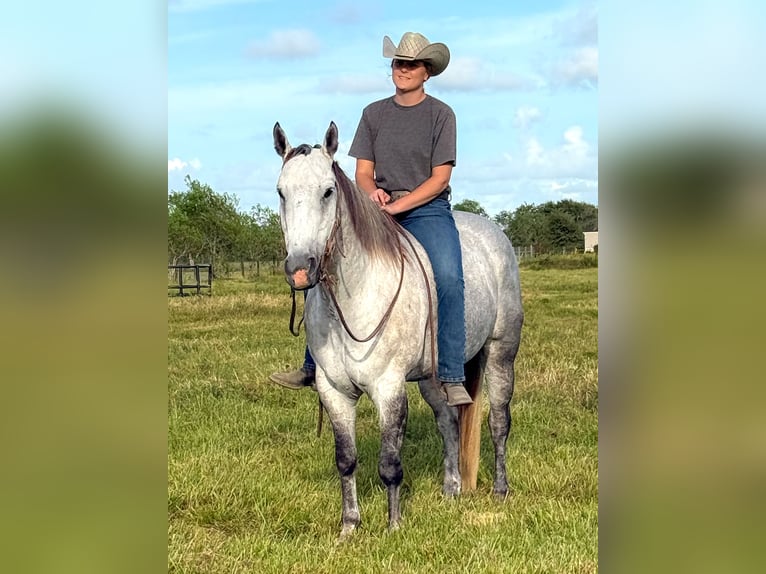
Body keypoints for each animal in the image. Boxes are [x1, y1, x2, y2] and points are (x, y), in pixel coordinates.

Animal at [272, 121, 523, 539]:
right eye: (281, 191)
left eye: (328, 190)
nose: (300, 269)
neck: (355, 299)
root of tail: (495, 234)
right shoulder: (333, 390)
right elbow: (346, 459)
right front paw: (349, 526)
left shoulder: (388, 388)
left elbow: (390, 463)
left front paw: (393, 525)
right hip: (433, 378)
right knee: (449, 422)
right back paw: (451, 489)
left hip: (501, 353)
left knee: (498, 421)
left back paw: (501, 490)